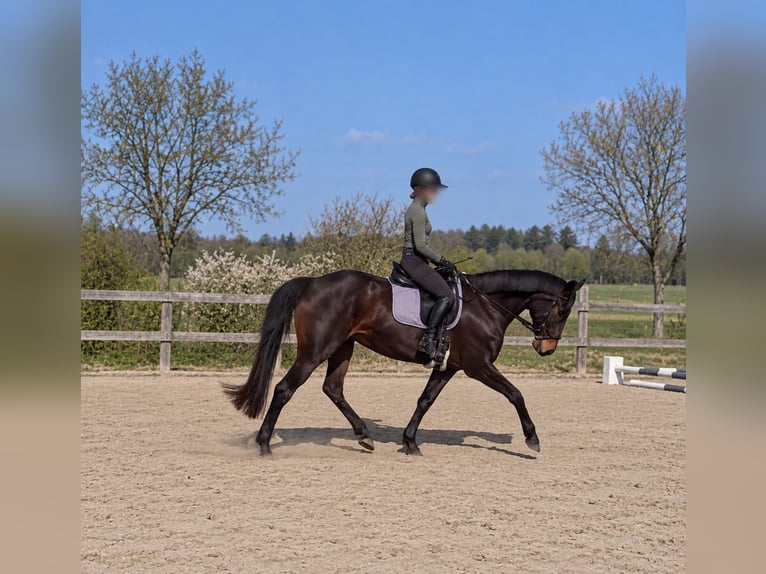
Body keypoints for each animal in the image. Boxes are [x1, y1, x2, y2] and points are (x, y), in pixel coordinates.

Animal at [223, 269, 584, 456]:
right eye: (562, 310)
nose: (546, 348)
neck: (485, 306)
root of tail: (312, 282)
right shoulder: (478, 367)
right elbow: (515, 394)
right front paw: (532, 439)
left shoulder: (450, 367)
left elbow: (425, 400)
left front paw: (410, 442)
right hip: (316, 351)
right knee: (284, 389)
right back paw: (264, 444)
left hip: (342, 347)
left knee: (333, 389)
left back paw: (364, 435)